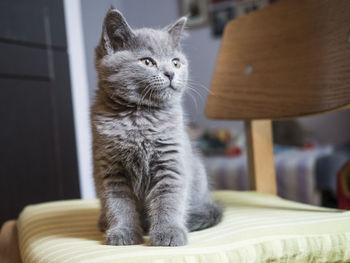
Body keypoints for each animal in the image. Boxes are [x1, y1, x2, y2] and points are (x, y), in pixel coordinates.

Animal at [91, 8, 220, 248]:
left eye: (176, 63)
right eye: (147, 62)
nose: (170, 73)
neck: (139, 117)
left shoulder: (171, 162)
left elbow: (168, 200)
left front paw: (168, 233)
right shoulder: (111, 169)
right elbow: (118, 204)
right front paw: (123, 232)